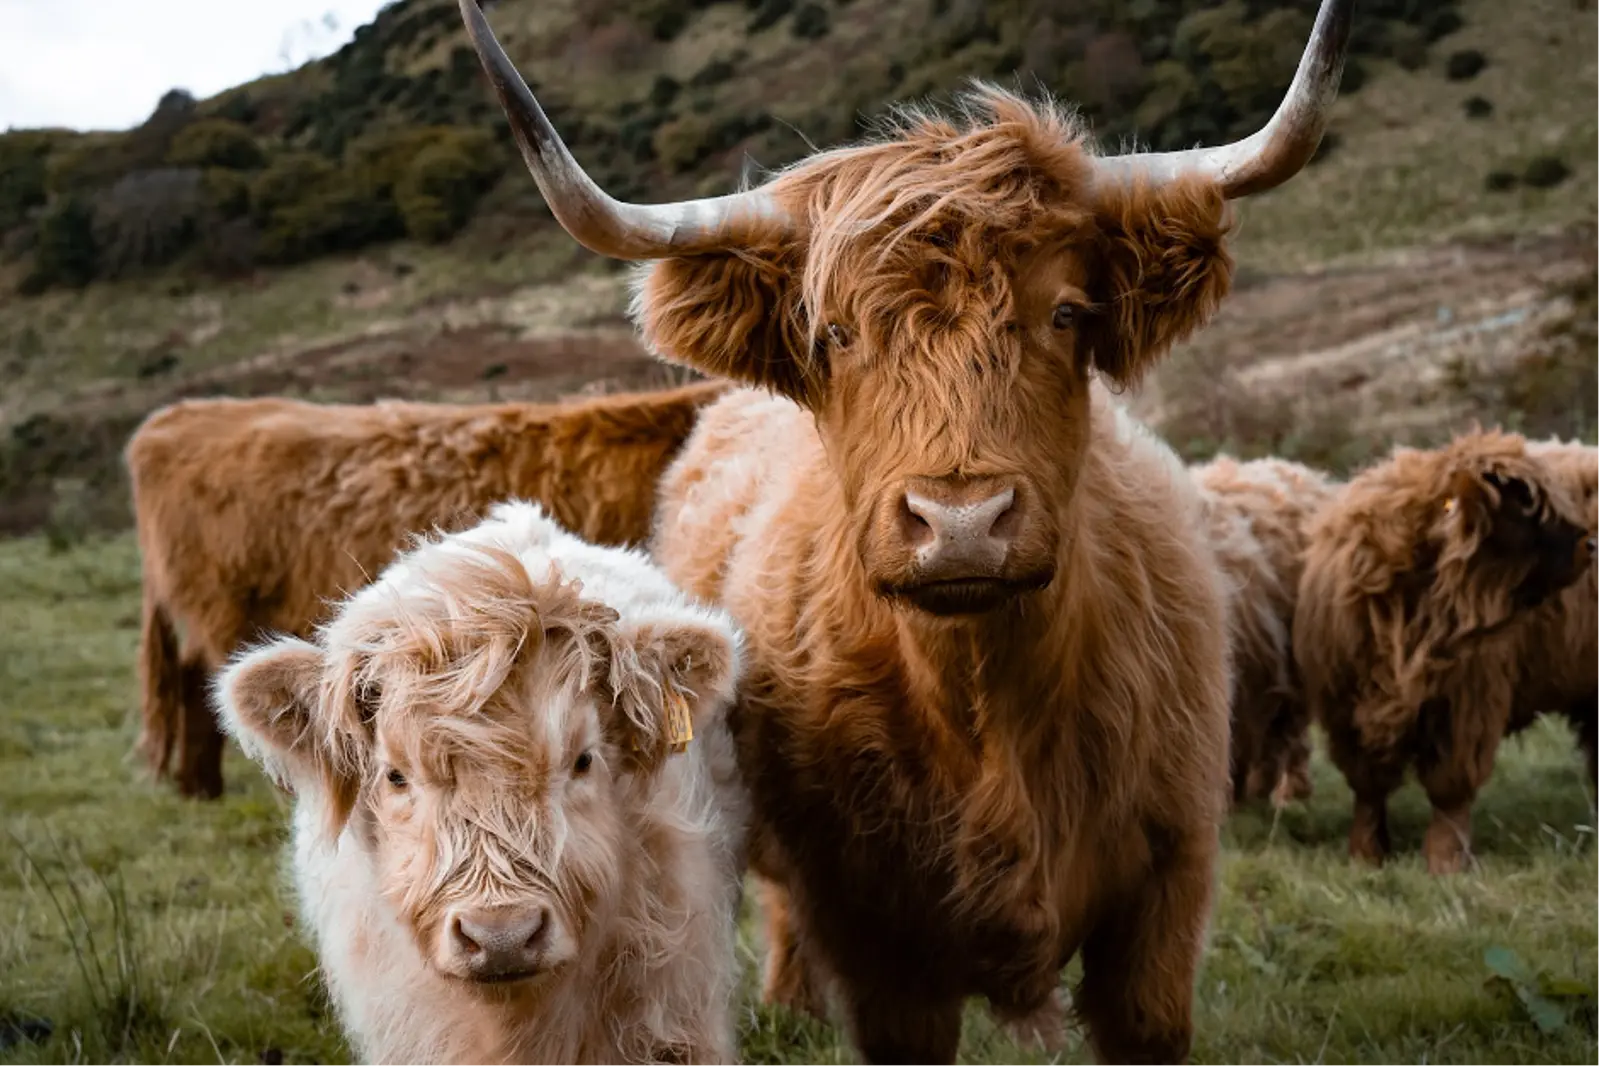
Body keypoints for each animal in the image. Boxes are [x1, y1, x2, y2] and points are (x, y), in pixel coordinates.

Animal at [1294, 430, 1596, 874]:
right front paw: (1366, 855)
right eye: (1523, 509)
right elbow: (1368, 787)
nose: (1592, 542)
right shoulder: (1348, 707)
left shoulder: (1464, 705)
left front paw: (1445, 861)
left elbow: (1449, 789)